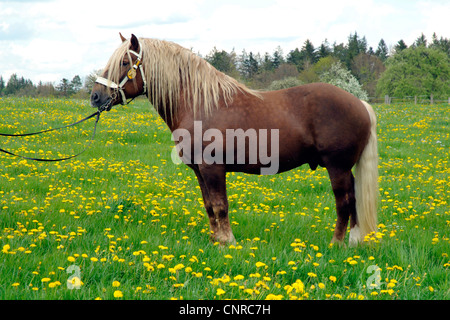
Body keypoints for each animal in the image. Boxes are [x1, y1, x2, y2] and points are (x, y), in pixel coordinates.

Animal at [91, 33, 380, 246]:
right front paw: (215, 240)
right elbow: (209, 205)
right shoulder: (200, 171)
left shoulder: (213, 168)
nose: (95, 97)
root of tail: (360, 103)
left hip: (337, 167)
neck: (199, 103)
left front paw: (227, 242)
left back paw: (336, 243)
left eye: (124, 63)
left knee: (344, 202)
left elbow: (220, 206)